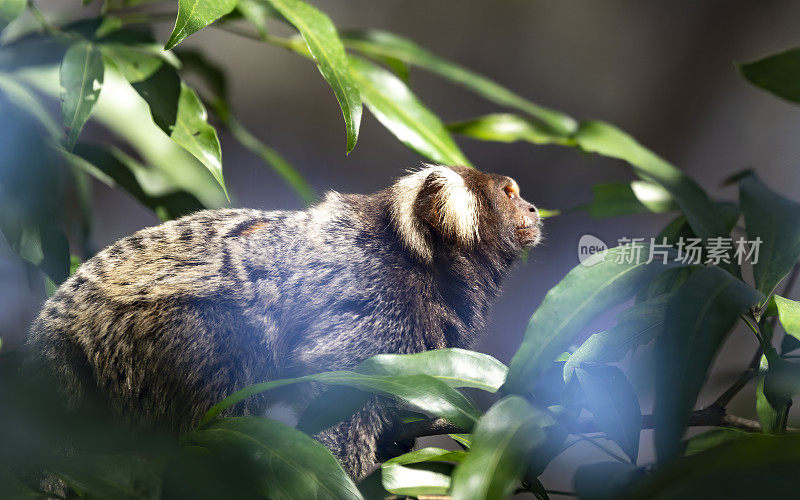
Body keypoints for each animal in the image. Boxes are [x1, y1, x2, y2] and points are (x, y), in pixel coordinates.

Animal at [25, 165, 540, 480]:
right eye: (509, 194)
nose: (534, 208)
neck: (423, 260)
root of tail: (52, 334)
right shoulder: (377, 296)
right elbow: (336, 388)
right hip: (147, 339)